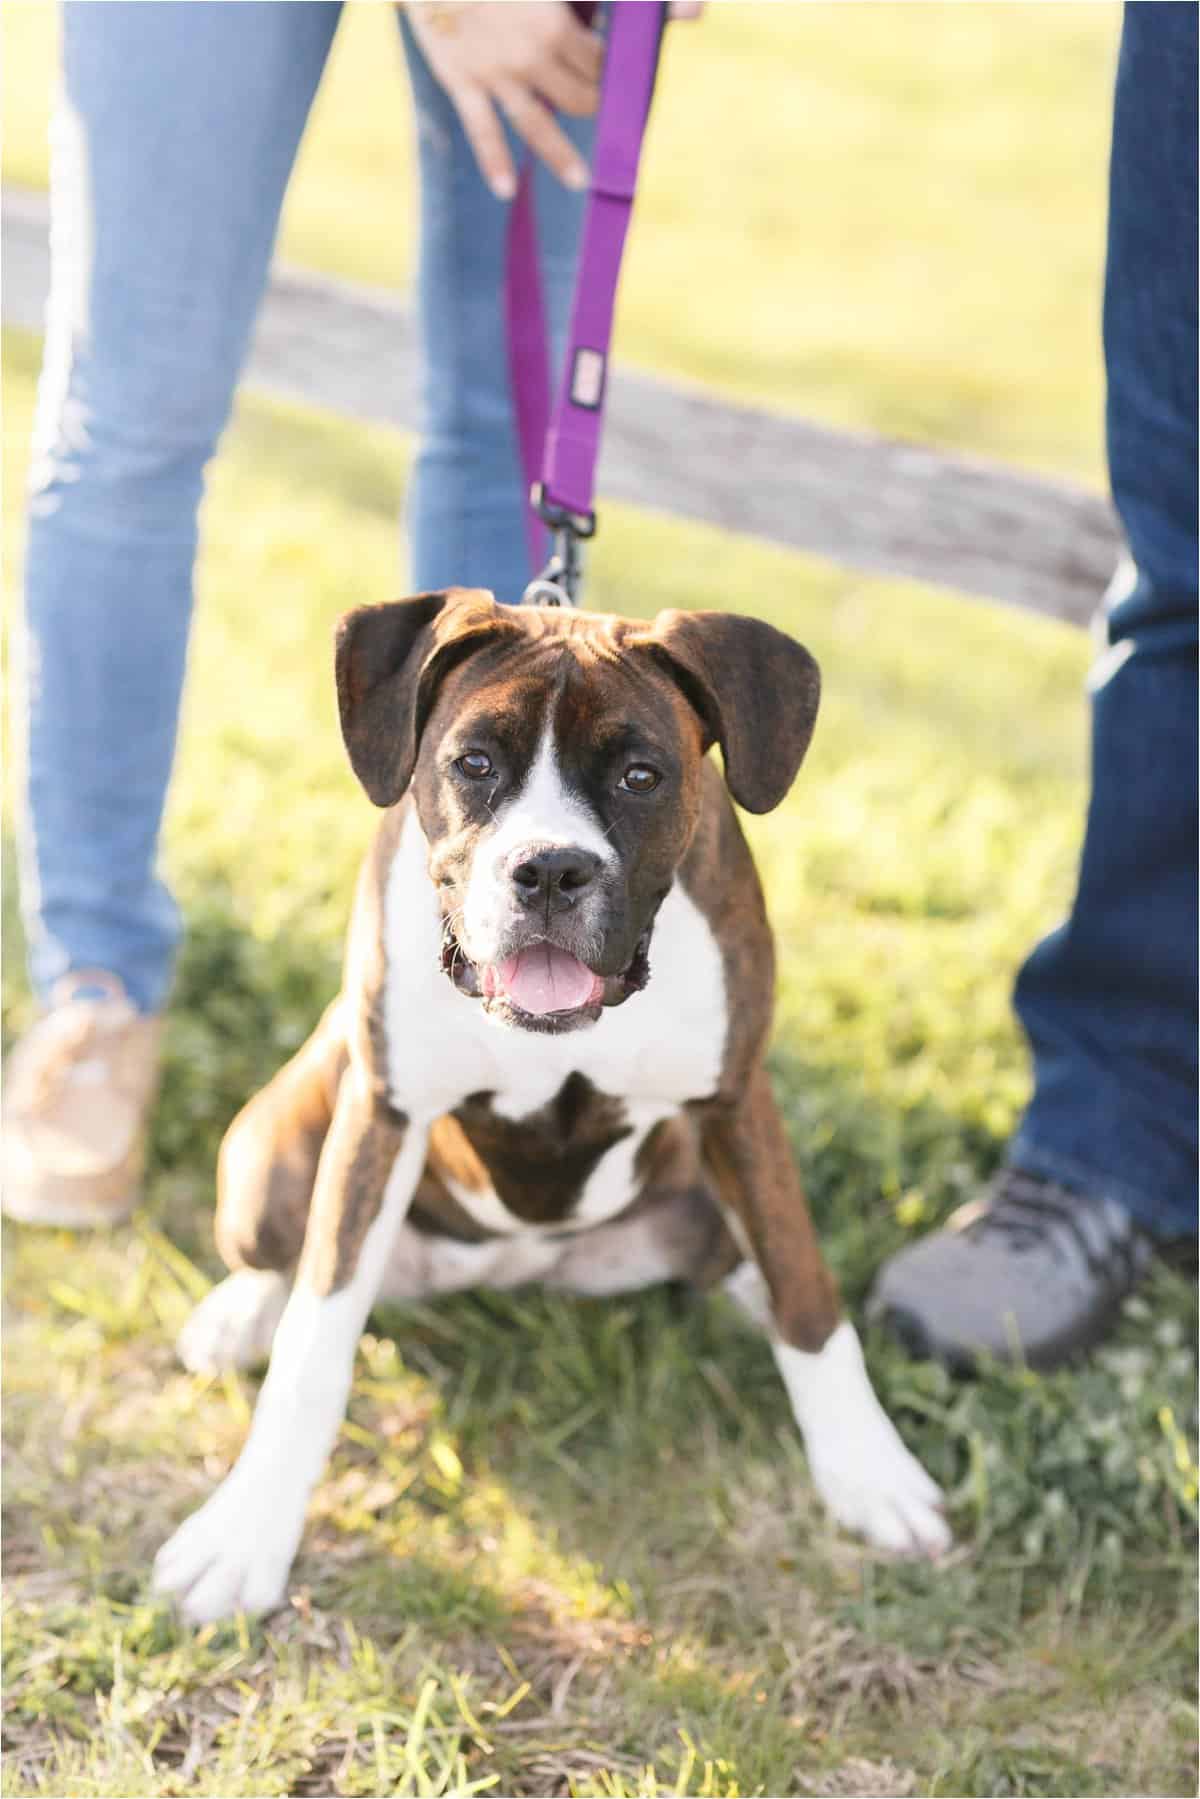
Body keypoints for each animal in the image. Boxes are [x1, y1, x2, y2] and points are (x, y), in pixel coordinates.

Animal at [154, 586, 949, 1619]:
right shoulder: (386, 1109)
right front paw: (247, 1533)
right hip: (271, 1143)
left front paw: (871, 1474)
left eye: (643, 775)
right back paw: (236, 1314)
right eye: (474, 764)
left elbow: (808, 1295)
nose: (549, 869)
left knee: (747, 1259)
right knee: (285, 1257)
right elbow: (315, 1339)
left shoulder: (738, 1102)